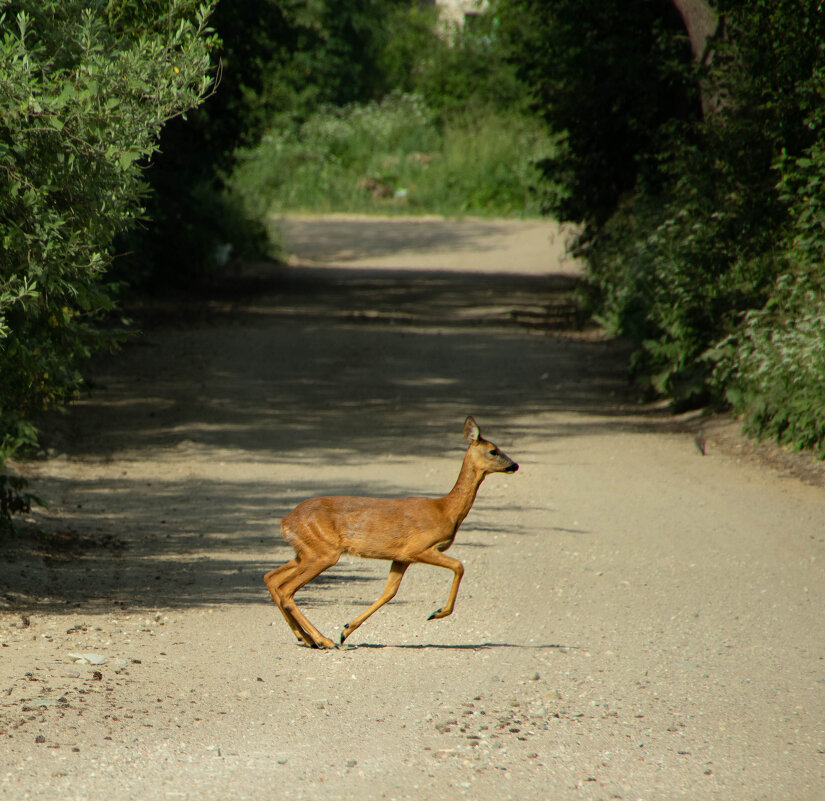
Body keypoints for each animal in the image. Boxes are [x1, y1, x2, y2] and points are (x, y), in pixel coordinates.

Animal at [268, 416, 520, 648]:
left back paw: (306, 638)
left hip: (306, 552)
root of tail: (285, 521)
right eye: (493, 450)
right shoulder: (418, 548)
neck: (446, 510)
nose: (515, 465)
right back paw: (323, 640)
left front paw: (346, 630)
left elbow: (389, 592)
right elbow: (459, 566)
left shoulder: (401, 557)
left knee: (272, 579)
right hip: (323, 552)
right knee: (286, 589)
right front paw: (437, 612)